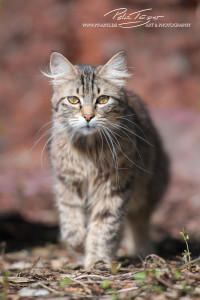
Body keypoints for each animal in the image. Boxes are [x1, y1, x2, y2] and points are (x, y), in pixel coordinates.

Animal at [43, 51, 170, 270]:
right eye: (73, 99)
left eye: (102, 99)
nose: (88, 117)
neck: (89, 150)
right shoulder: (67, 183)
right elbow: (70, 222)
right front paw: (79, 244)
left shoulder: (114, 187)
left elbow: (104, 227)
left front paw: (98, 260)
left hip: (148, 189)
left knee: (139, 221)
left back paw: (141, 250)